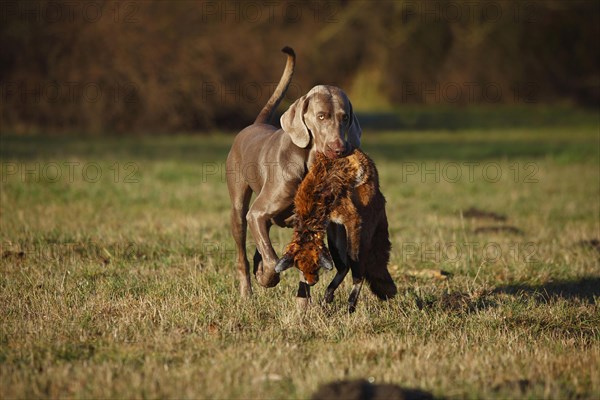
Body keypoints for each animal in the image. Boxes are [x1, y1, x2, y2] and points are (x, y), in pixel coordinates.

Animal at [226, 47, 360, 296]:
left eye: (345, 117)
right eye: (321, 116)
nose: (339, 149)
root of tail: (255, 124)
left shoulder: (322, 224)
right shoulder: (257, 213)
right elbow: (272, 261)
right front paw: (267, 278)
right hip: (239, 210)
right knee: (243, 254)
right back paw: (247, 292)